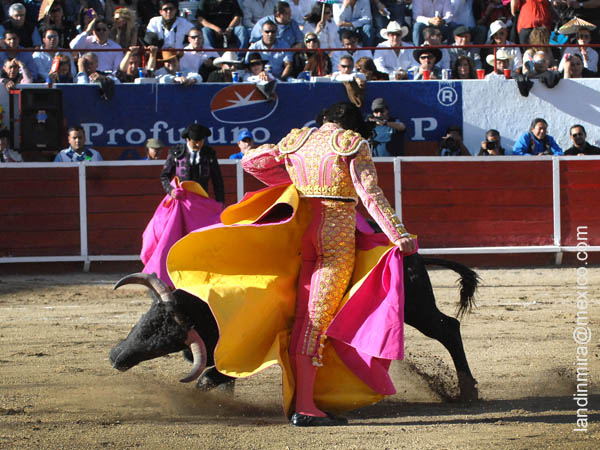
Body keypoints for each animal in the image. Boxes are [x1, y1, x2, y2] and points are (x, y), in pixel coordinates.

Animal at [109, 253, 478, 400]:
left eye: (168, 336)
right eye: (148, 319)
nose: (116, 356)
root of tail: (410, 255)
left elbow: (216, 374)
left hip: (417, 309)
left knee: (448, 329)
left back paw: (467, 389)